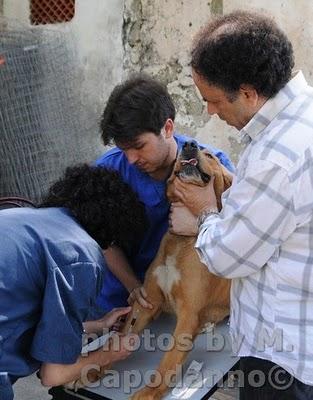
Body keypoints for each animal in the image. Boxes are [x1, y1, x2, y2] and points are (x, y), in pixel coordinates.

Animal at [120, 141, 233, 400]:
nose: (190, 144)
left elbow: (168, 360)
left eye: (210, 155)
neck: (183, 239)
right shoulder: (147, 301)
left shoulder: (189, 313)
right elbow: (119, 338)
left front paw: (149, 392)